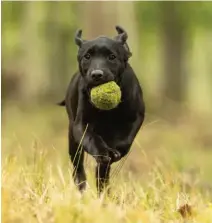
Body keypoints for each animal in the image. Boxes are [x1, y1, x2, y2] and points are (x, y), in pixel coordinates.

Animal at [58, 25, 145, 195]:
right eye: (87, 56)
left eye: (112, 57)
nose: (97, 74)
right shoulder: (81, 125)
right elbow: (92, 139)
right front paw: (103, 151)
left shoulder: (135, 118)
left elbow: (125, 139)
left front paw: (116, 151)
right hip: (73, 141)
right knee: (79, 168)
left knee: (102, 173)